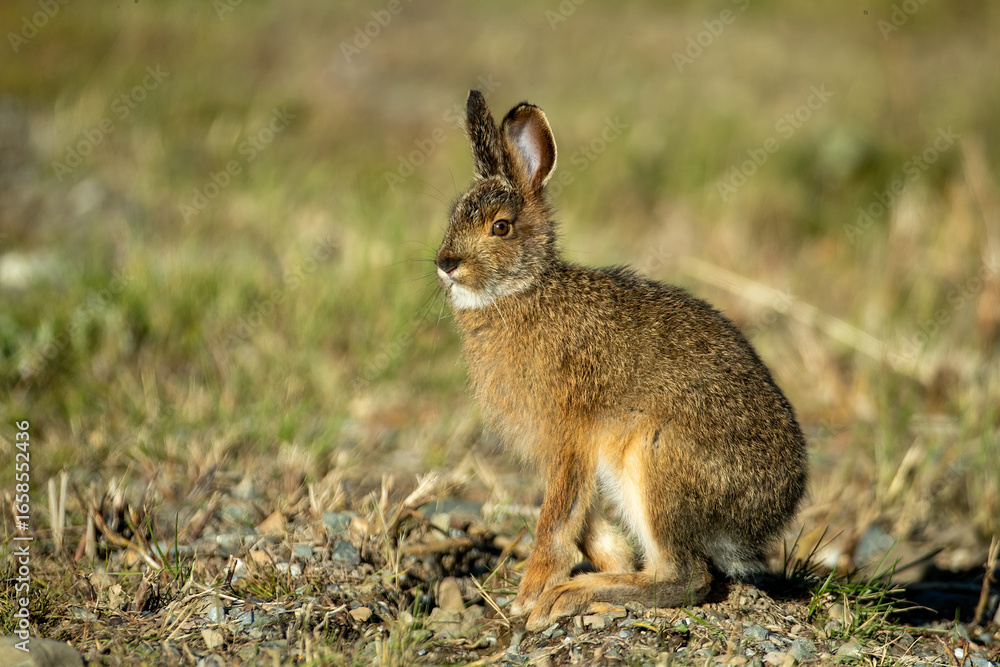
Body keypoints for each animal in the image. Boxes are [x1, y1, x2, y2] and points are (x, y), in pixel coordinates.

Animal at [435, 90, 808, 632]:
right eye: (454, 217)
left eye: (500, 227)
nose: (446, 264)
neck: (524, 291)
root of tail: (767, 516)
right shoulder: (566, 453)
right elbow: (583, 521)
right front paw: (609, 559)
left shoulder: (571, 435)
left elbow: (556, 520)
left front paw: (529, 598)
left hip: (656, 464)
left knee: (687, 577)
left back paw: (572, 595)